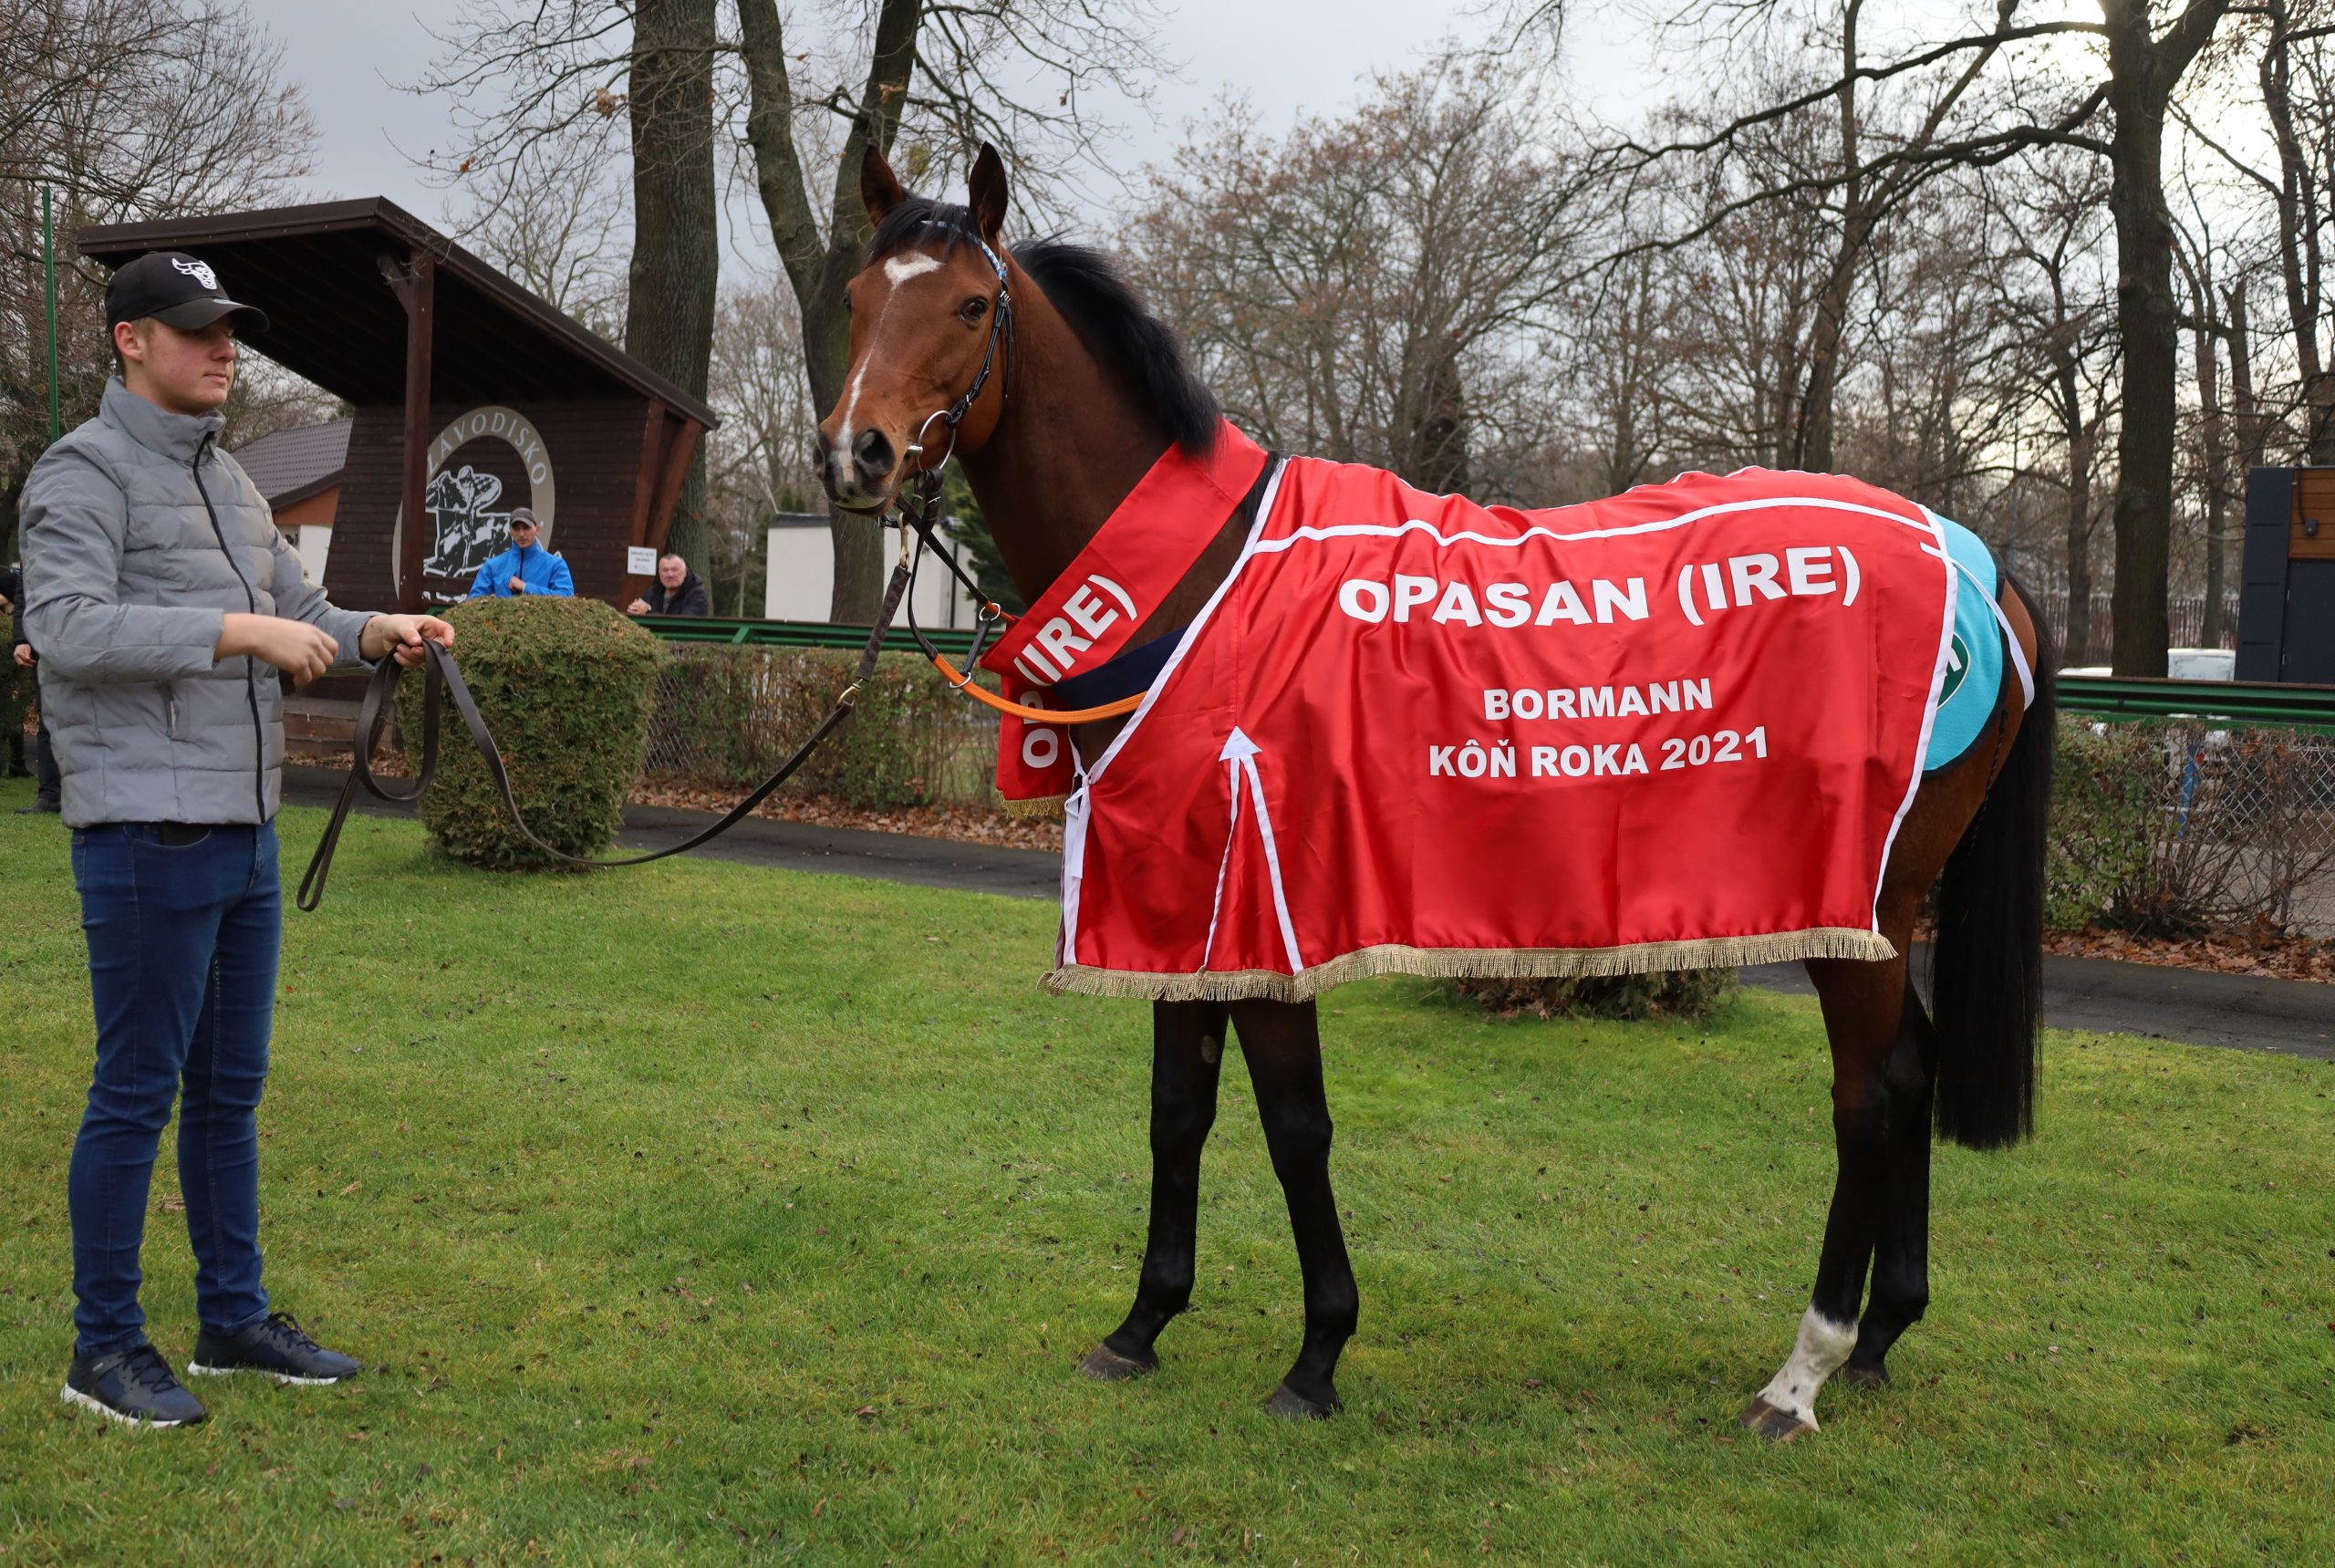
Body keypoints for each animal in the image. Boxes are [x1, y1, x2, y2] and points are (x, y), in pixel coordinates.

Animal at [812, 147, 2054, 1449]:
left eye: (968, 305)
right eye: (856, 297)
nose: (857, 454)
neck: (1195, 587)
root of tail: (1979, 565)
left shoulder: (1270, 914)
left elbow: (1294, 1127)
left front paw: (1316, 1355)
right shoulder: (1179, 905)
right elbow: (1176, 1113)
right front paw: (1143, 1324)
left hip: (1854, 903)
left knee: (1870, 1097)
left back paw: (1801, 1373)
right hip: (1881, 910)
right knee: (1911, 1070)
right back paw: (1880, 1337)